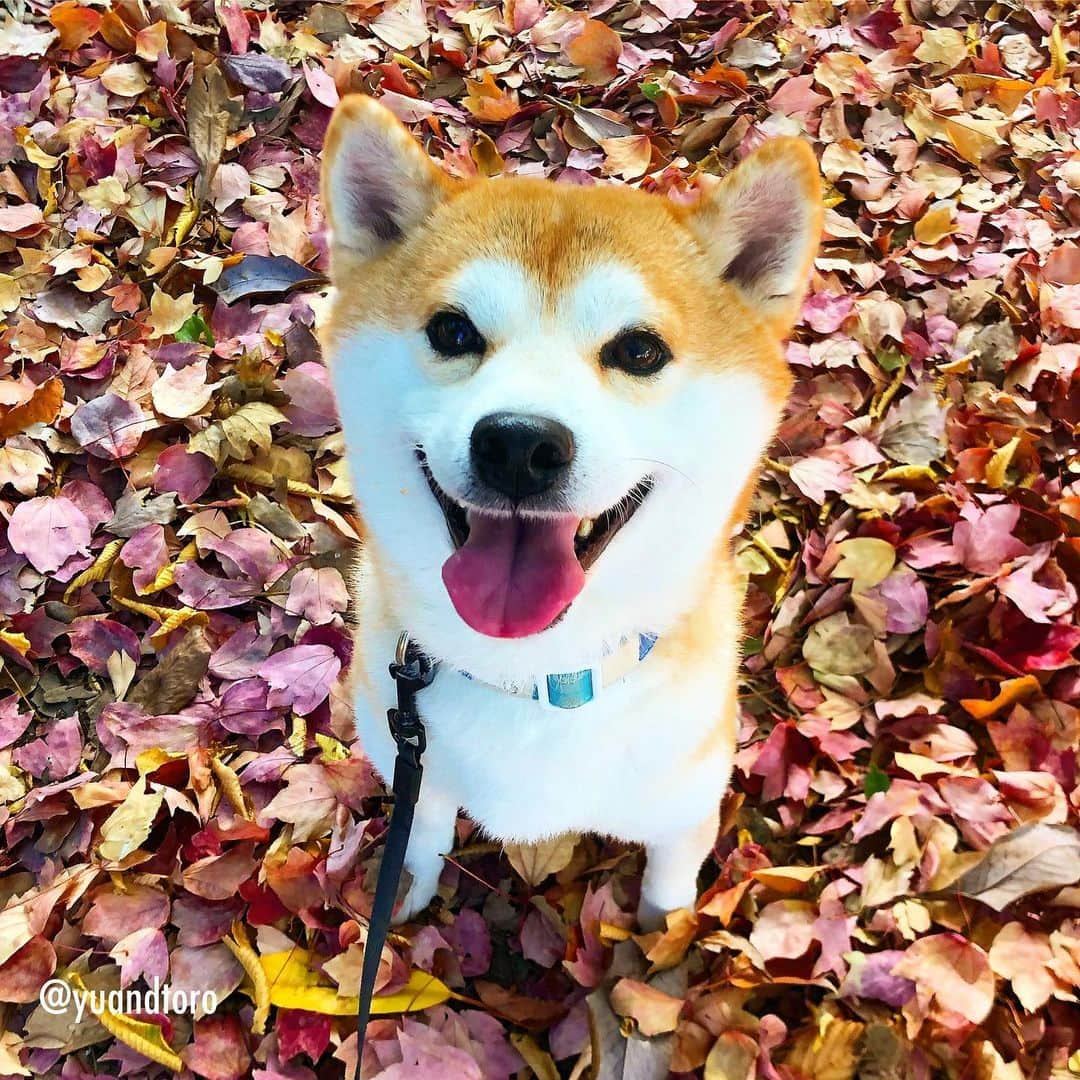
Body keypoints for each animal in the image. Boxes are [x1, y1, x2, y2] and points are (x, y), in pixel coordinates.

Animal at [315, 97, 820, 928]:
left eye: (640, 351)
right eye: (453, 331)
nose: (519, 445)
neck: (536, 675)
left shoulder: (683, 809)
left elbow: (667, 895)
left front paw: (657, 944)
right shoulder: (412, 762)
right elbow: (423, 834)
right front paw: (410, 887)